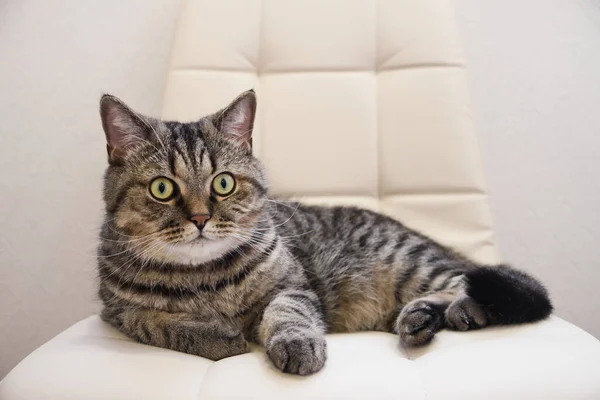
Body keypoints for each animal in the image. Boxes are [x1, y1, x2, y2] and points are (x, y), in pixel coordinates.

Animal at [96, 90, 552, 376]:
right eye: (162, 188)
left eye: (223, 183)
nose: (200, 218)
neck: (204, 278)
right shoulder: (115, 312)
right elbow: (157, 323)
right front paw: (218, 336)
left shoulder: (293, 284)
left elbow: (288, 313)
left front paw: (296, 344)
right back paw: (421, 318)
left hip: (411, 262)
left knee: (475, 283)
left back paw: (457, 310)